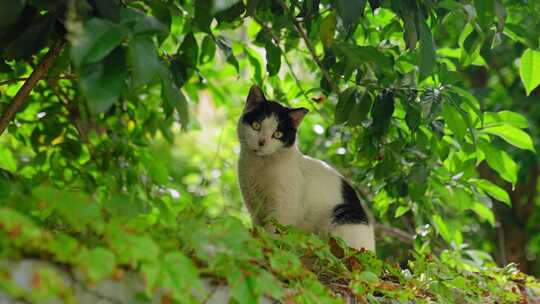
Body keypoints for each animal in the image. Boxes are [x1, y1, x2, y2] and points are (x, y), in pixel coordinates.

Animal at [236, 85, 376, 252]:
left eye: (277, 134)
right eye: (256, 126)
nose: (262, 142)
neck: (259, 167)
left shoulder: (282, 209)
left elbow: (273, 235)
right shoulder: (254, 208)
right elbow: (259, 231)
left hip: (341, 219)